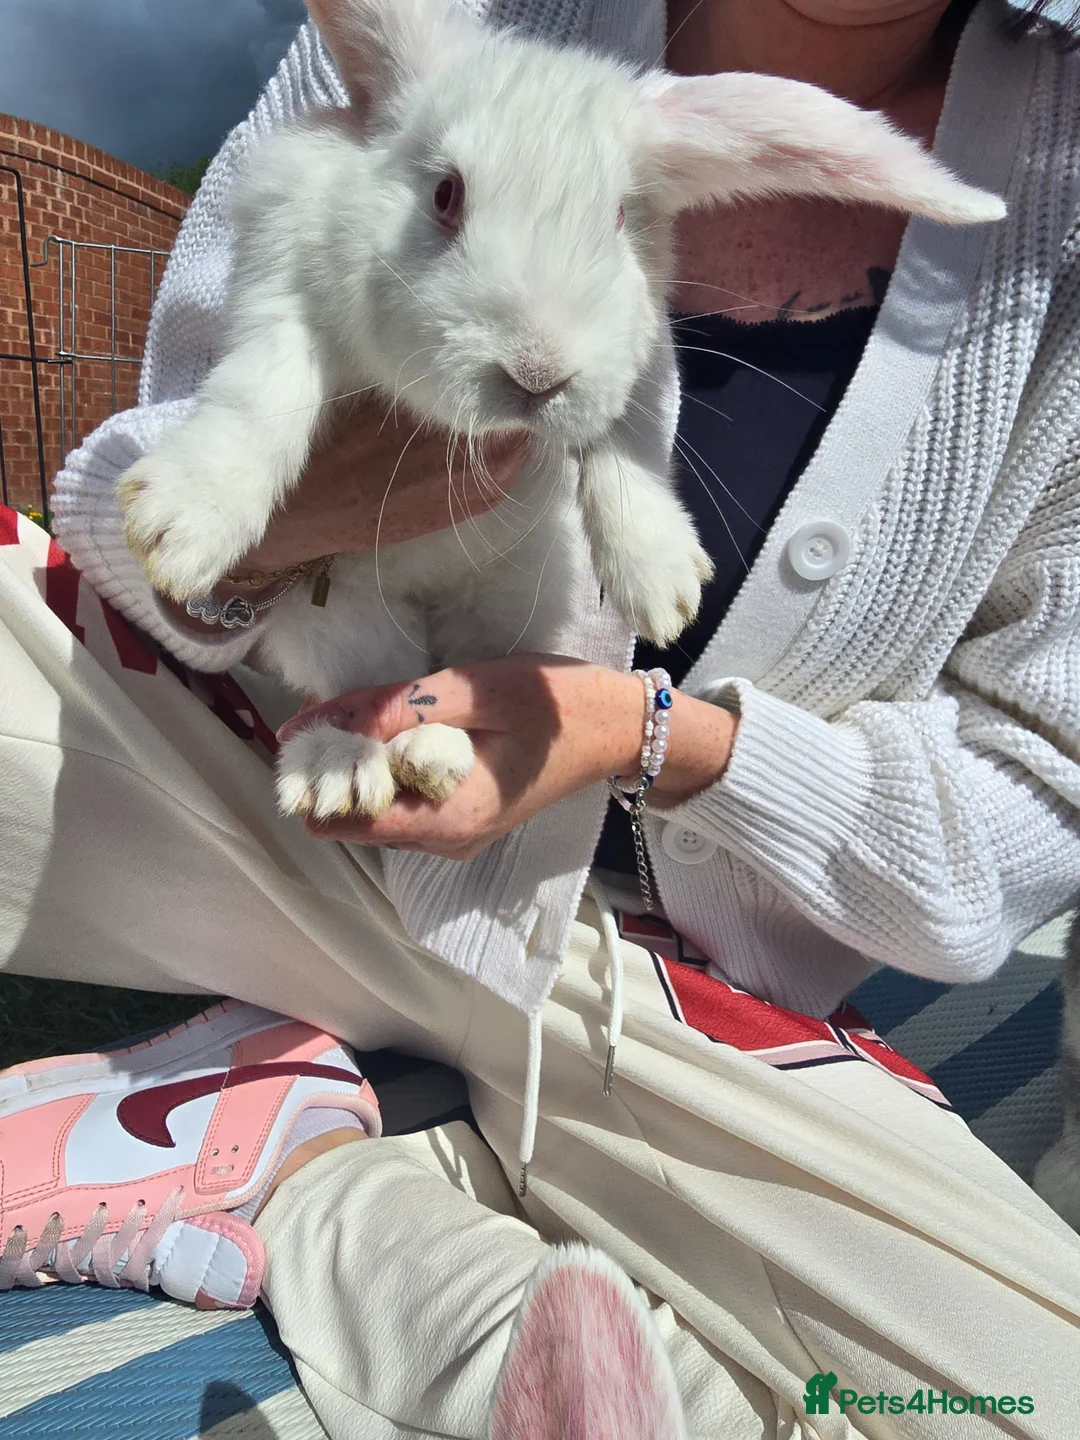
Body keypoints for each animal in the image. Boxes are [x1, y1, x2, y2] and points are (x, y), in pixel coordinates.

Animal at [118, 0, 1005, 821]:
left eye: (618, 218)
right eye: (445, 193)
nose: (538, 374)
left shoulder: (634, 357)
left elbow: (629, 441)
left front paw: (660, 581)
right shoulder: (284, 280)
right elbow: (265, 387)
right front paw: (181, 527)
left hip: (501, 605)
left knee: (435, 683)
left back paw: (431, 761)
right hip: (334, 619)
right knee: (369, 690)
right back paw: (342, 771)